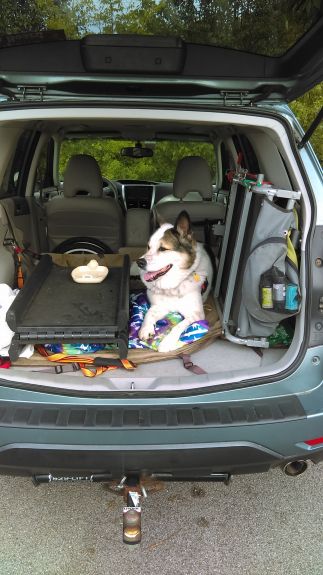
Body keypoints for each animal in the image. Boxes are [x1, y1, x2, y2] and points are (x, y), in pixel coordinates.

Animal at [138, 212, 214, 354]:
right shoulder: (158, 307)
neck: (173, 285)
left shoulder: (196, 314)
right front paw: (145, 328)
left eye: (163, 249)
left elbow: (178, 326)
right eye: (148, 247)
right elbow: (148, 314)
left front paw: (167, 342)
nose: (139, 263)